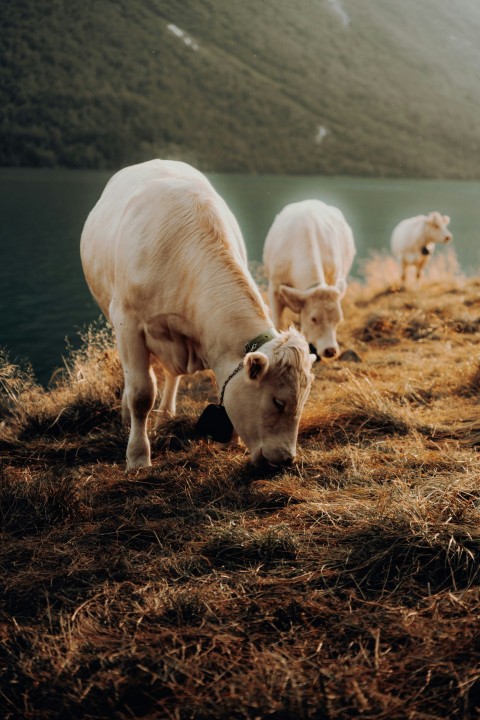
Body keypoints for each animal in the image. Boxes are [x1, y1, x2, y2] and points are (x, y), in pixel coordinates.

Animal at [81, 160, 316, 470]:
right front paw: (138, 457)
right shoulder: (127, 322)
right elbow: (141, 393)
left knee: (171, 375)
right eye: (279, 402)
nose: (286, 459)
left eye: (303, 402)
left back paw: (166, 414)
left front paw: (232, 442)